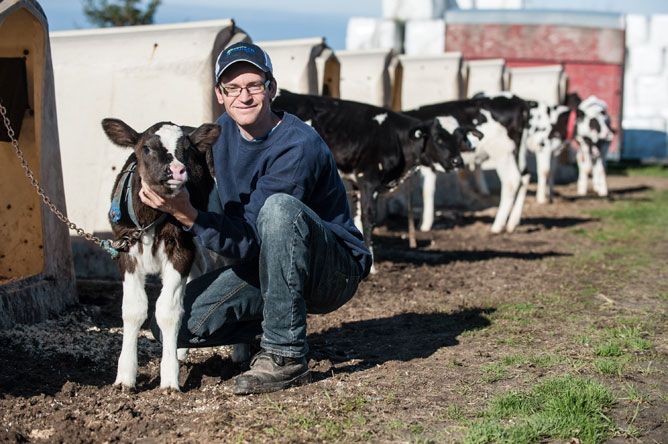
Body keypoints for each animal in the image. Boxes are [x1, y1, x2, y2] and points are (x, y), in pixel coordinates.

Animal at [102, 119, 220, 392]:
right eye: (146, 148)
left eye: (187, 150)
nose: (176, 170)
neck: (151, 219)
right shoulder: (125, 249)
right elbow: (133, 310)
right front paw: (125, 377)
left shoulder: (181, 250)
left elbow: (168, 311)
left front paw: (169, 379)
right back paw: (181, 351)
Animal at [272, 90, 474, 268]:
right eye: (438, 138)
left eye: (460, 139)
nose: (457, 162)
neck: (394, 137)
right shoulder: (368, 180)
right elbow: (368, 218)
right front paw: (373, 267)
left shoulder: (357, 182)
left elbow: (357, 218)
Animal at [408, 93, 532, 232]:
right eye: (439, 140)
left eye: (459, 140)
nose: (456, 161)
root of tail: (519, 101)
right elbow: (427, 189)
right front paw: (425, 223)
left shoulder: (426, 163)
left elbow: (425, 190)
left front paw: (424, 225)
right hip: (519, 151)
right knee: (524, 176)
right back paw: (512, 223)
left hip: (503, 153)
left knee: (512, 180)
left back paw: (497, 226)